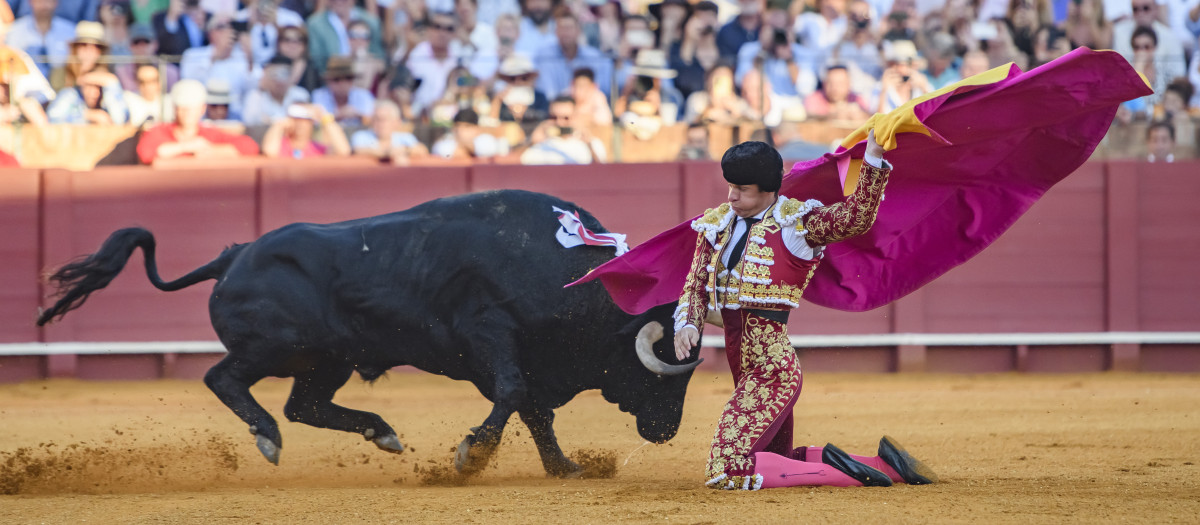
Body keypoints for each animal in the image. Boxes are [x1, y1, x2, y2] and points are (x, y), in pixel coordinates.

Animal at [39, 190, 700, 477]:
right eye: (665, 369)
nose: (667, 430)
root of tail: (233, 256)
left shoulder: (520, 359)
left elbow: (534, 410)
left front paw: (564, 467)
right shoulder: (490, 336)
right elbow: (516, 397)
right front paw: (471, 455)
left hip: (325, 359)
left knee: (304, 404)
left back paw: (381, 433)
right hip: (274, 347)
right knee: (223, 378)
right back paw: (267, 438)